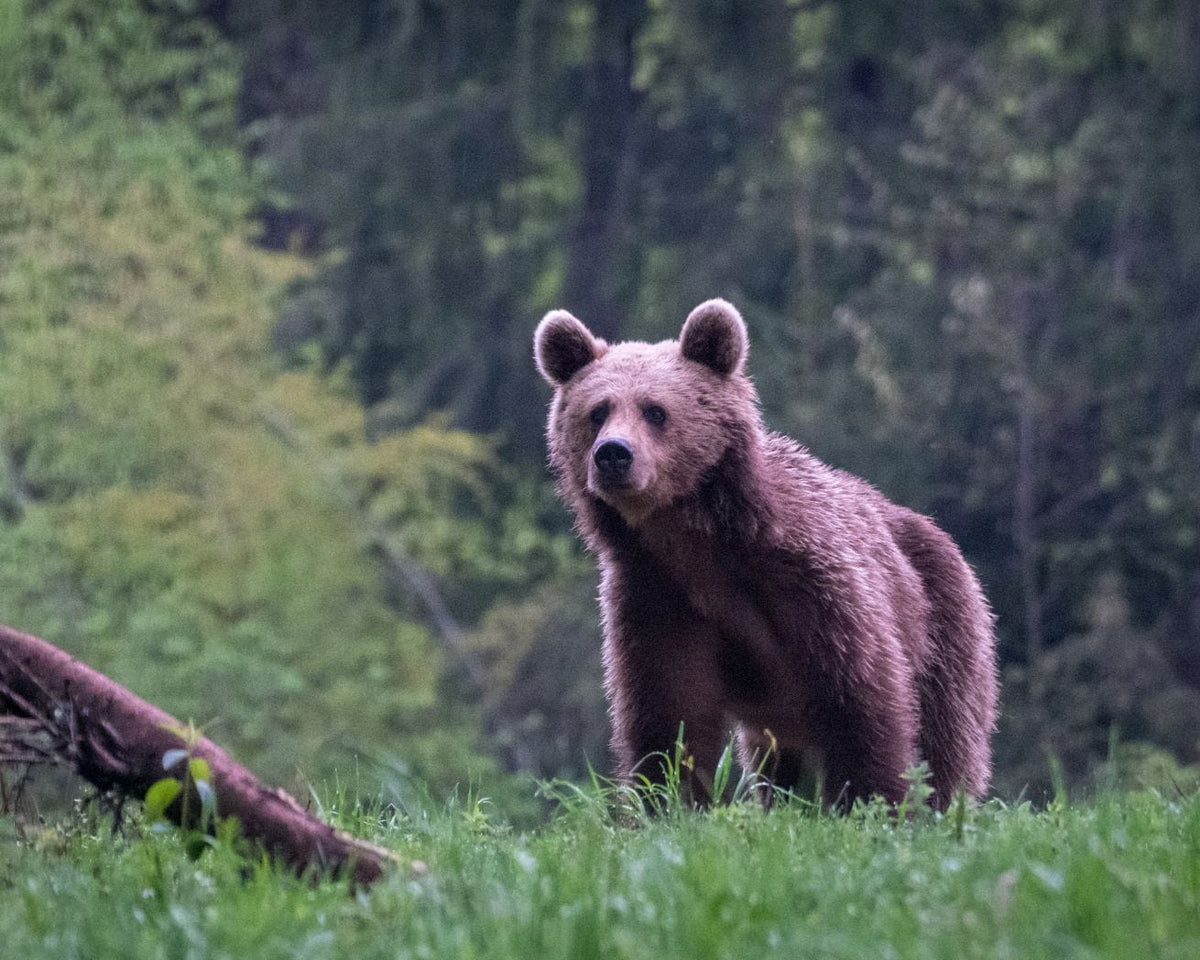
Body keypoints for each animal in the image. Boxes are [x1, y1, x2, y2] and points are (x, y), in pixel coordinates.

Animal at [533, 298, 999, 808]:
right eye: (597, 411)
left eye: (655, 410)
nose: (614, 455)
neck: (698, 543)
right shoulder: (657, 599)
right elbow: (670, 717)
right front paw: (669, 802)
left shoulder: (813, 584)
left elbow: (863, 702)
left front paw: (876, 801)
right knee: (775, 767)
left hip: (944, 622)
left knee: (947, 735)